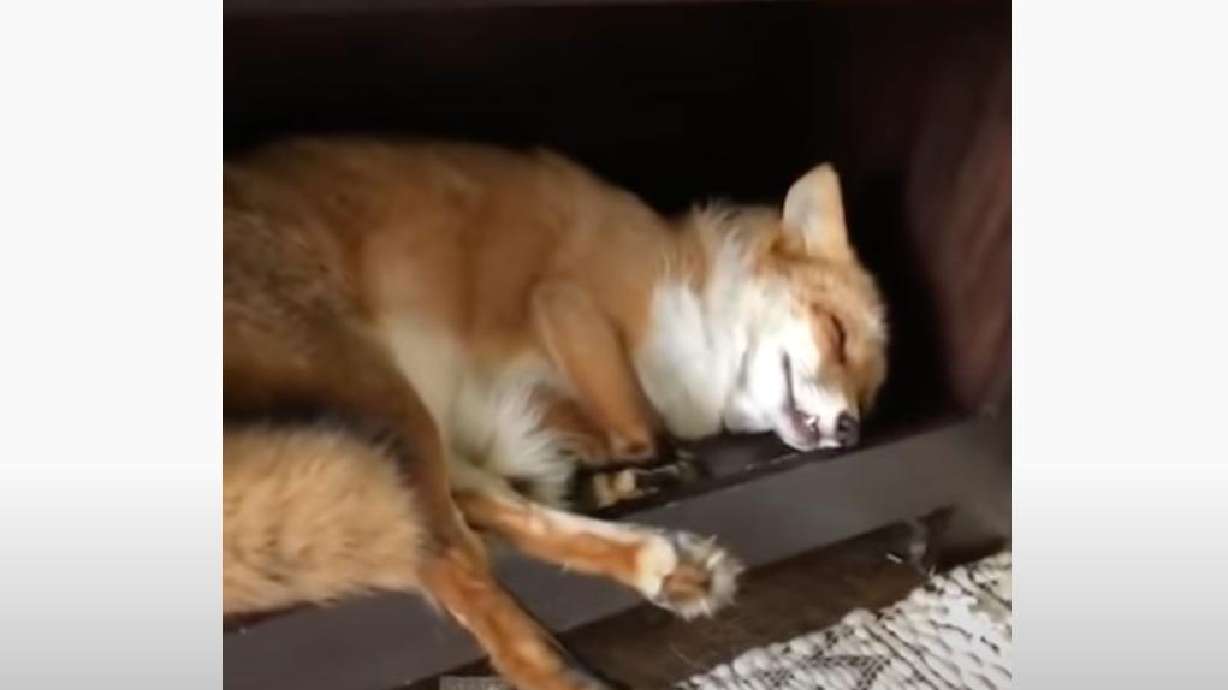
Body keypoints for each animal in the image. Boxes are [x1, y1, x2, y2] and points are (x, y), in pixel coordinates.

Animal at [223, 137, 887, 690]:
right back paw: (562, 664)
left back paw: (667, 565)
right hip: (390, 405)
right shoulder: (566, 306)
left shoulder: (506, 406)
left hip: (410, 430)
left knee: (485, 518)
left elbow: (588, 453)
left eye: (868, 394)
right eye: (837, 334)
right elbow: (640, 428)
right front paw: (628, 470)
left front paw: (612, 480)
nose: (850, 429)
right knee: (453, 561)